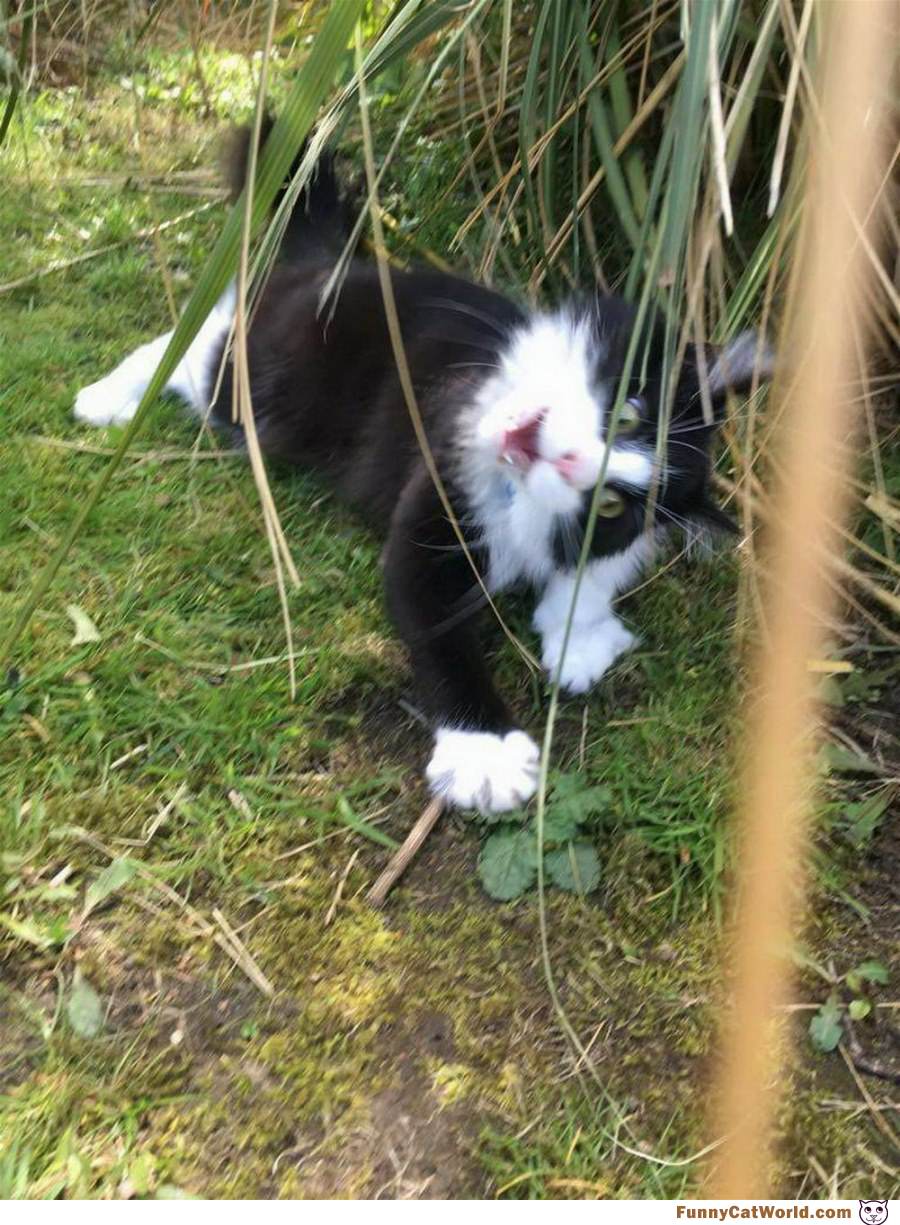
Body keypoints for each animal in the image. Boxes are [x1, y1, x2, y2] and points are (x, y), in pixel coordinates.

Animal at [72, 124, 773, 813]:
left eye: (611, 505)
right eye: (628, 413)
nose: (568, 458)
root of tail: (331, 263)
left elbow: (598, 567)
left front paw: (582, 637)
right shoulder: (436, 499)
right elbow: (438, 628)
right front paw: (485, 751)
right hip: (256, 376)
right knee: (188, 343)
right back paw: (107, 398)